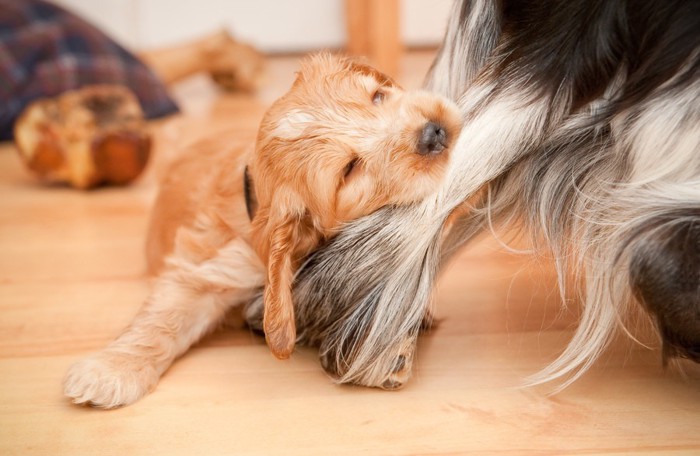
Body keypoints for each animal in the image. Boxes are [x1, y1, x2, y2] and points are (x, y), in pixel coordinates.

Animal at [63, 51, 462, 408]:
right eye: (350, 169)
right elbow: (162, 320)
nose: (433, 131)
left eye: (378, 96)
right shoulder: (208, 268)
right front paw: (109, 371)